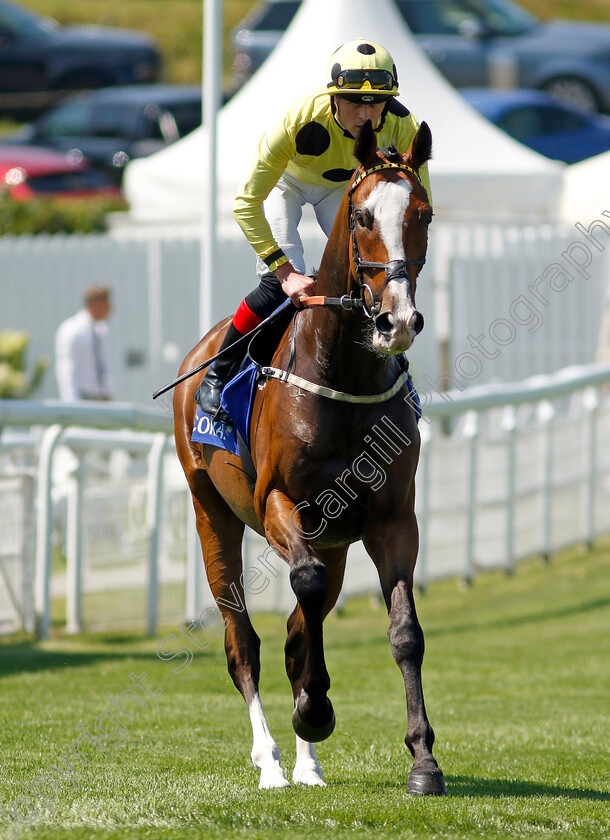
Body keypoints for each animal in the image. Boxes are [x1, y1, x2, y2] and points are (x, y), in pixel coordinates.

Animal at [173, 116, 444, 796]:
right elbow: (305, 591)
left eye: (423, 214)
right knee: (243, 640)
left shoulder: (390, 519)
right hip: (211, 511)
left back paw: (307, 764)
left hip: (334, 536)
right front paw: (316, 712)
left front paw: (423, 761)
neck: (342, 372)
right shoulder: (278, 501)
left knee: (301, 629)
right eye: (363, 216)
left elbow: (403, 633)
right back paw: (272, 760)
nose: (396, 321)